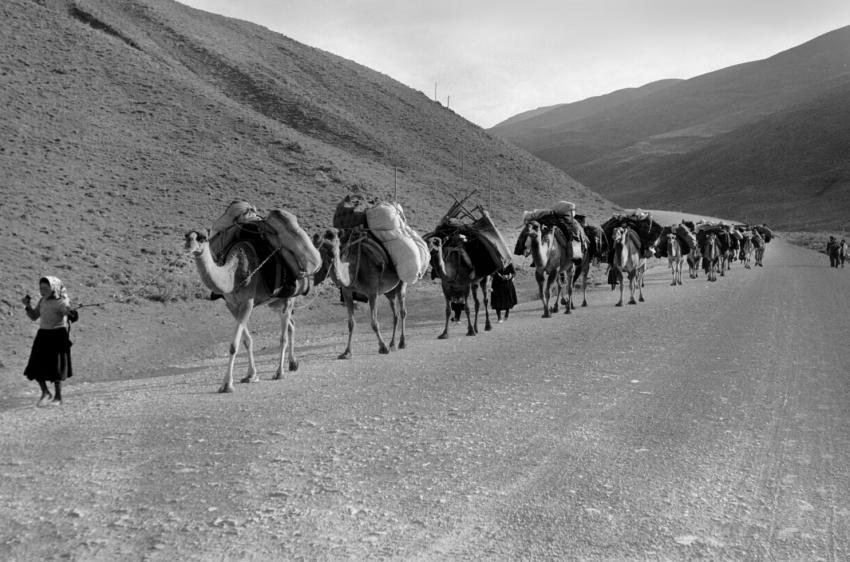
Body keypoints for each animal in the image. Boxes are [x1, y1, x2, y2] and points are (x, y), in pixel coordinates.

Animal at [184, 230, 304, 392]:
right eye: (186, 236)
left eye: (202, 238)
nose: (188, 246)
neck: (233, 275)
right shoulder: (232, 305)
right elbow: (247, 340)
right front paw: (251, 375)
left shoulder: (248, 302)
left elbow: (233, 345)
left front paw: (227, 384)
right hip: (274, 302)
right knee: (291, 324)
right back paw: (293, 363)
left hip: (288, 298)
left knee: (283, 336)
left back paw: (279, 372)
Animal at [314, 226, 406, 354]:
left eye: (330, 234)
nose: (315, 236)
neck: (353, 270)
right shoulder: (347, 292)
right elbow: (351, 323)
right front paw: (347, 352)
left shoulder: (372, 292)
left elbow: (374, 323)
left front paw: (383, 347)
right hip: (389, 292)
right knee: (395, 314)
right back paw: (392, 344)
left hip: (402, 283)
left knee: (402, 311)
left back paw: (402, 343)